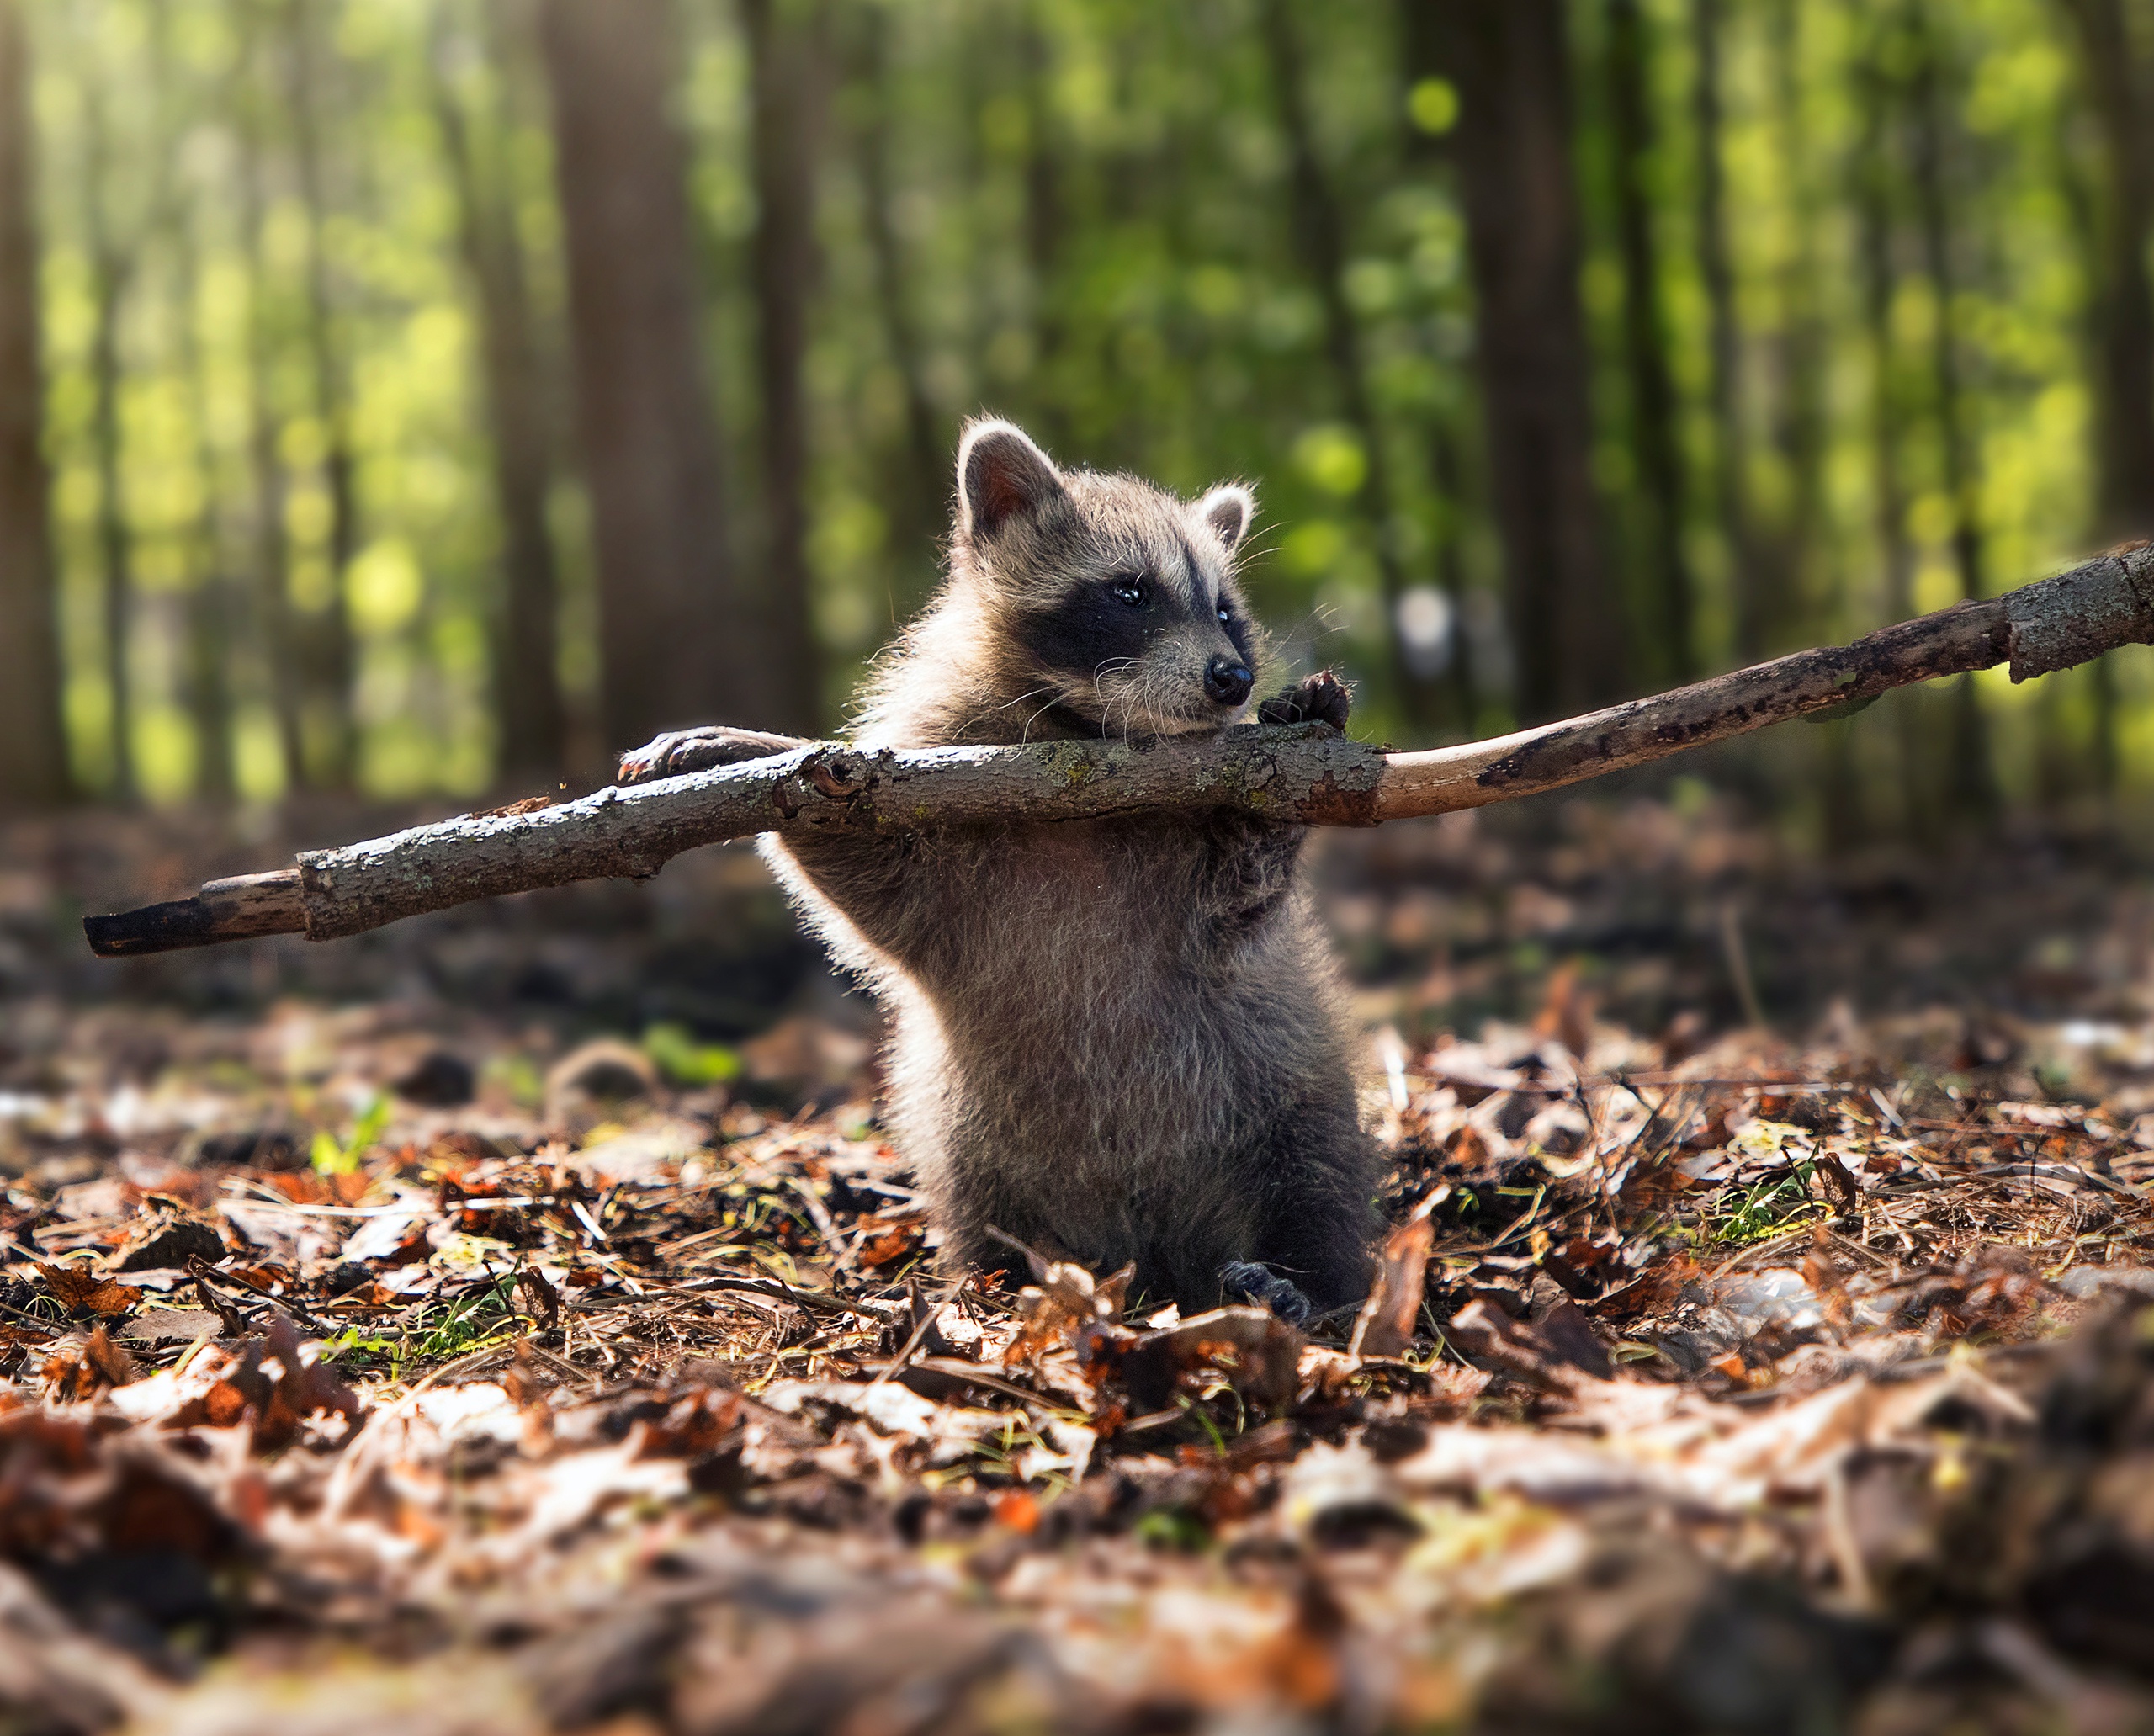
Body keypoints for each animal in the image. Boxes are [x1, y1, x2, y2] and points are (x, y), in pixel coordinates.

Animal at [620, 422, 1378, 1318]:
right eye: (1131, 594)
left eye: (1226, 611)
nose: (1233, 678)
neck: (1087, 740)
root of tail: (1152, 1262)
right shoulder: (943, 813)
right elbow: (869, 868)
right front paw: (758, 751)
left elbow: (1242, 905)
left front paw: (1280, 778)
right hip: (968, 1137)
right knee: (977, 1195)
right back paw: (1001, 1278)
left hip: (1281, 1081)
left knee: (1315, 1172)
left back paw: (1308, 1282)